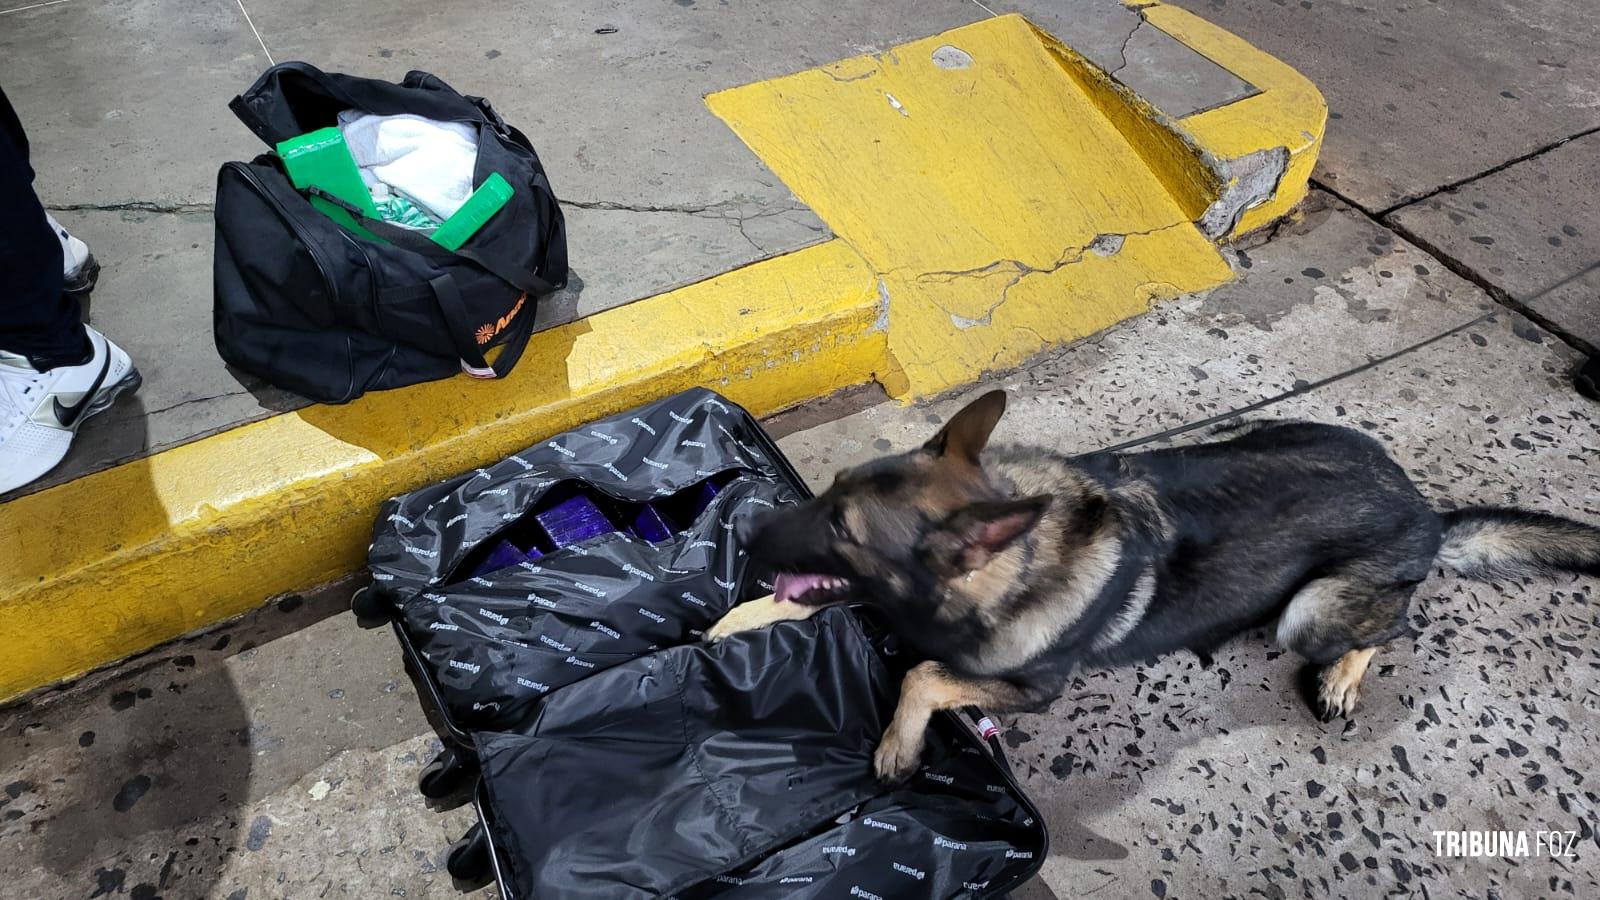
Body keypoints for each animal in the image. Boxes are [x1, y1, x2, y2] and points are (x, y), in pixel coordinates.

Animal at [710, 390, 1600, 778]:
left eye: (843, 529)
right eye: (826, 494)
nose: (743, 531)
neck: (1013, 564)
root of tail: (1425, 509)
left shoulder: (1032, 688)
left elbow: (924, 673)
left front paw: (899, 744)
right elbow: (812, 610)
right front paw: (736, 618)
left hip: (1310, 614)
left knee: (1399, 622)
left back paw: (1344, 676)